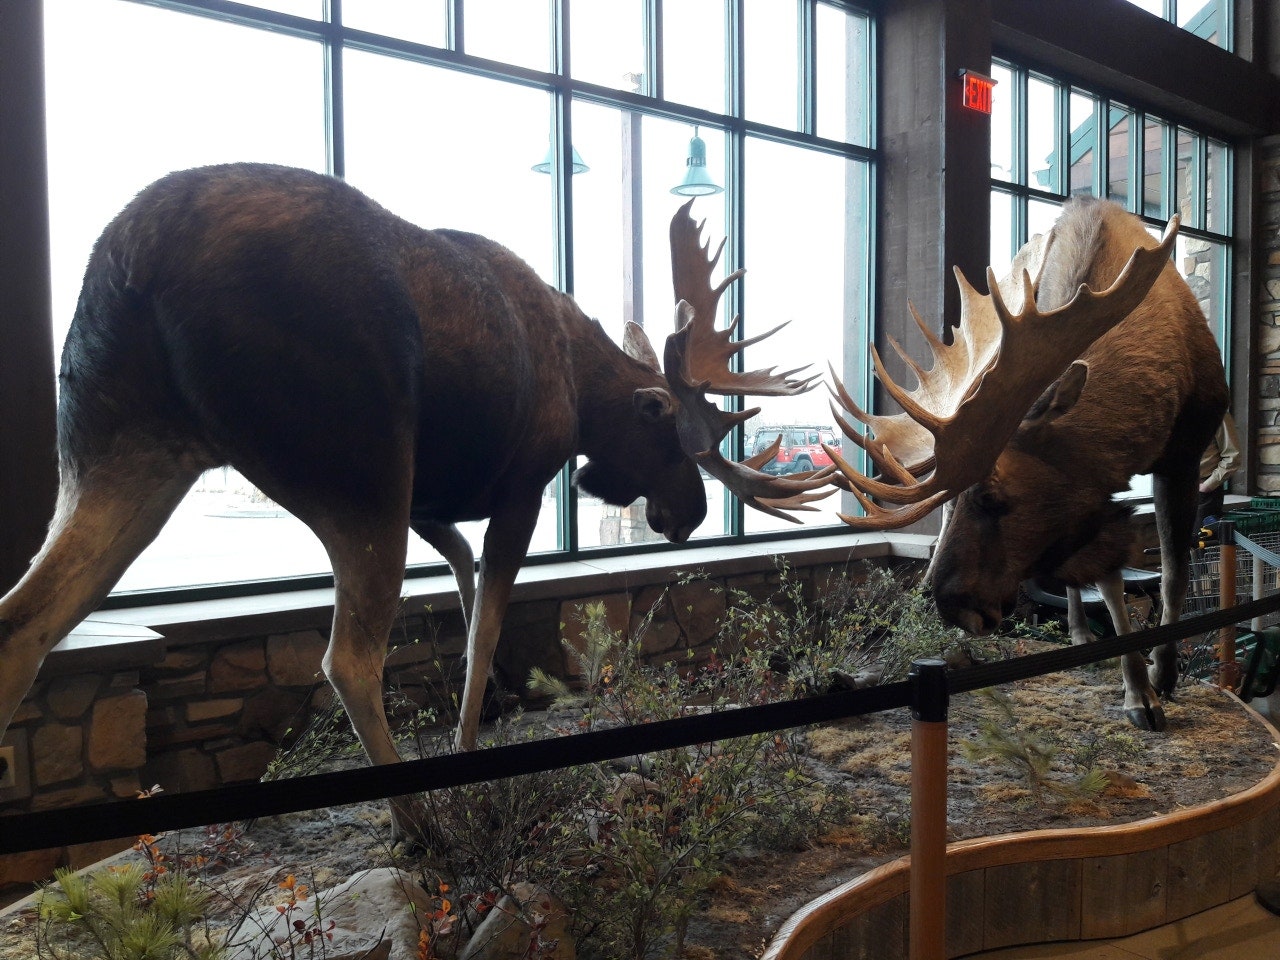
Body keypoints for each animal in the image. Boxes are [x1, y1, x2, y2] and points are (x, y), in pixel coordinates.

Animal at [0, 162, 832, 840]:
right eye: (671, 436)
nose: (689, 515)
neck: (581, 384)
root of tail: (140, 256)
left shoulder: (431, 503)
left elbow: (464, 593)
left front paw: (490, 705)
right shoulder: (517, 486)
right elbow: (487, 624)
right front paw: (468, 750)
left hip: (123, 451)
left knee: (23, 624)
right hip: (357, 467)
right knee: (348, 659)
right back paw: (418, 823)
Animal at [827, 196, 1229, 731]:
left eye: (992, 496)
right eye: (951, 503)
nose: (950, 606)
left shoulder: (1181, 455)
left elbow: (1172, 572)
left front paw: (1163, 674)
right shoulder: (1090, 496)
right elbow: (1111, 586)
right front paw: (1139, 690)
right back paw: (1080, 634)